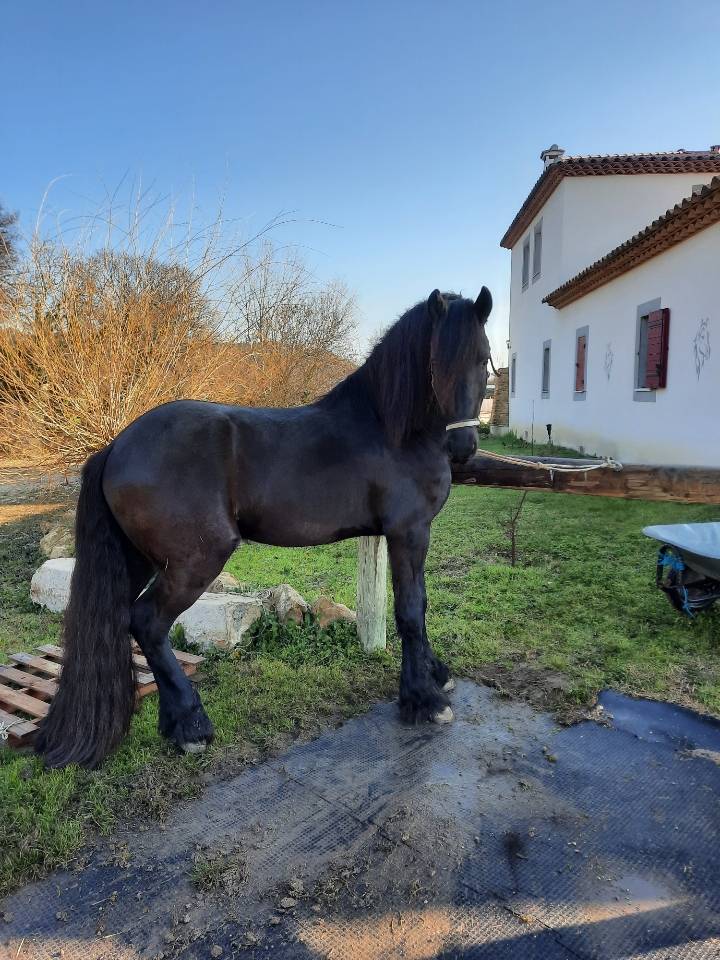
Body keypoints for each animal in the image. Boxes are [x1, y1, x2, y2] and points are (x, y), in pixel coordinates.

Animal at [35, 287, 493, 769]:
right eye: (437, 362)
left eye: (483, 358)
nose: (463, 446)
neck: (391, 428)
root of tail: (117, 445)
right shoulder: (408, 531)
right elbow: (410, 609)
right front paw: (424, 699)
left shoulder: (407, 534)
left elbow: (419, 604)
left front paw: (434, 675)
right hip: (197, 560)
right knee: (148, 623)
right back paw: (191, 726)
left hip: (138, 559)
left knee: (125, 620)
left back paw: (171, 722)